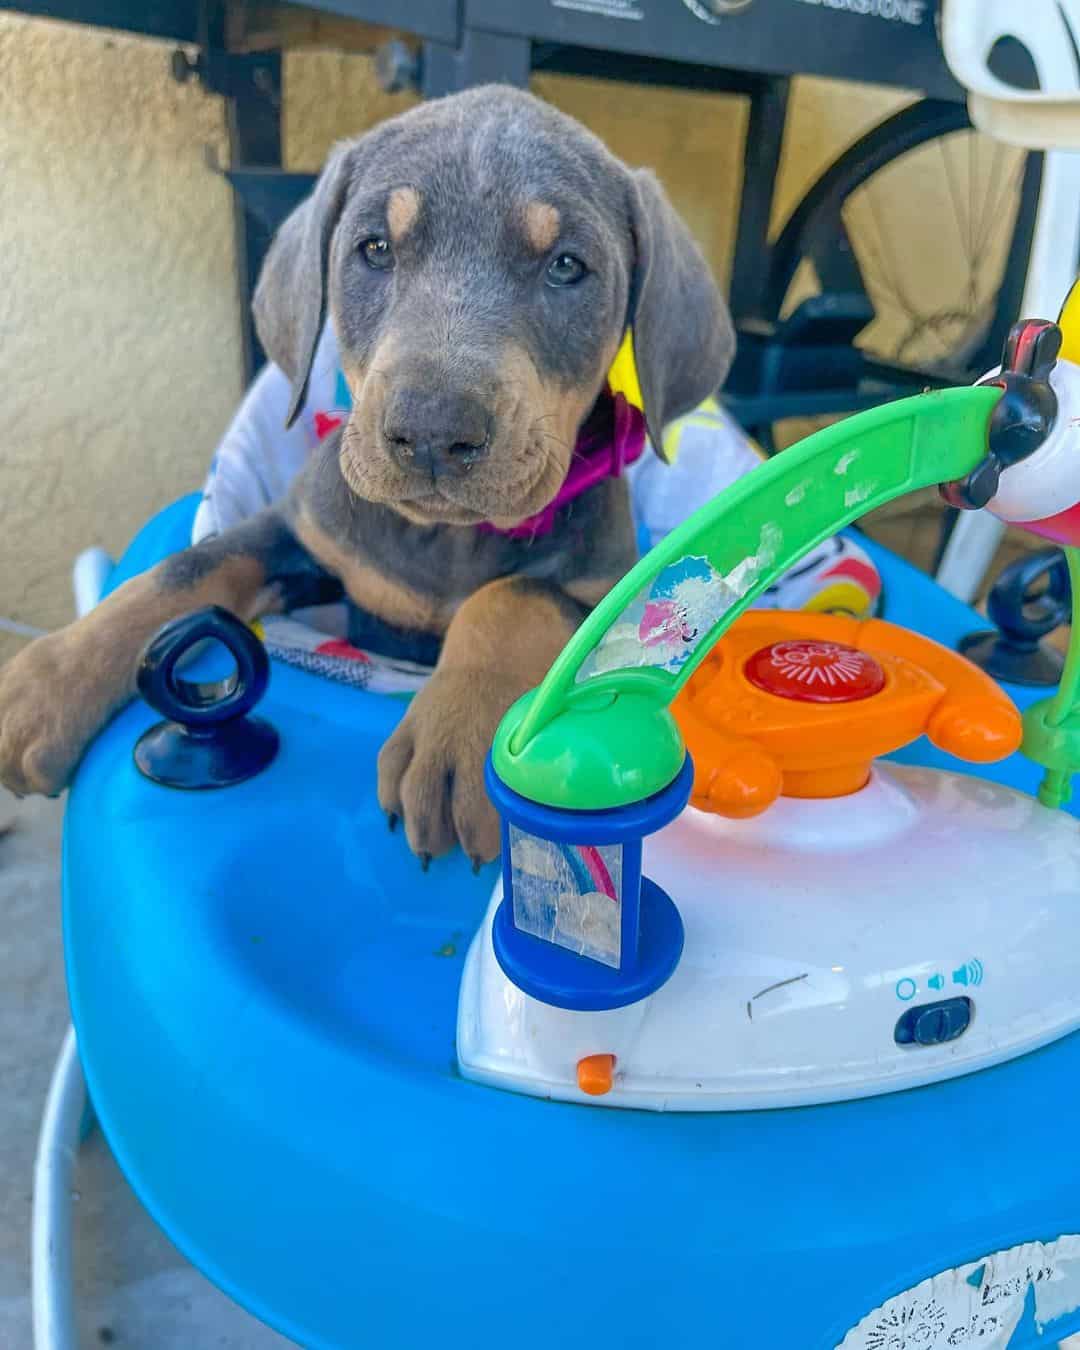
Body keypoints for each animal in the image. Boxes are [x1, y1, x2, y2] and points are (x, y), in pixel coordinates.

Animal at [0, 84, 734, 864]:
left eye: (567, 266)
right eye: (375, 248)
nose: (433, 431)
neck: (445, 539)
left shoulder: (603, 591)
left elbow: (513, 595)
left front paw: (456, 732)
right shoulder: (301, 534)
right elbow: (185, 569)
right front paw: (44, 685)